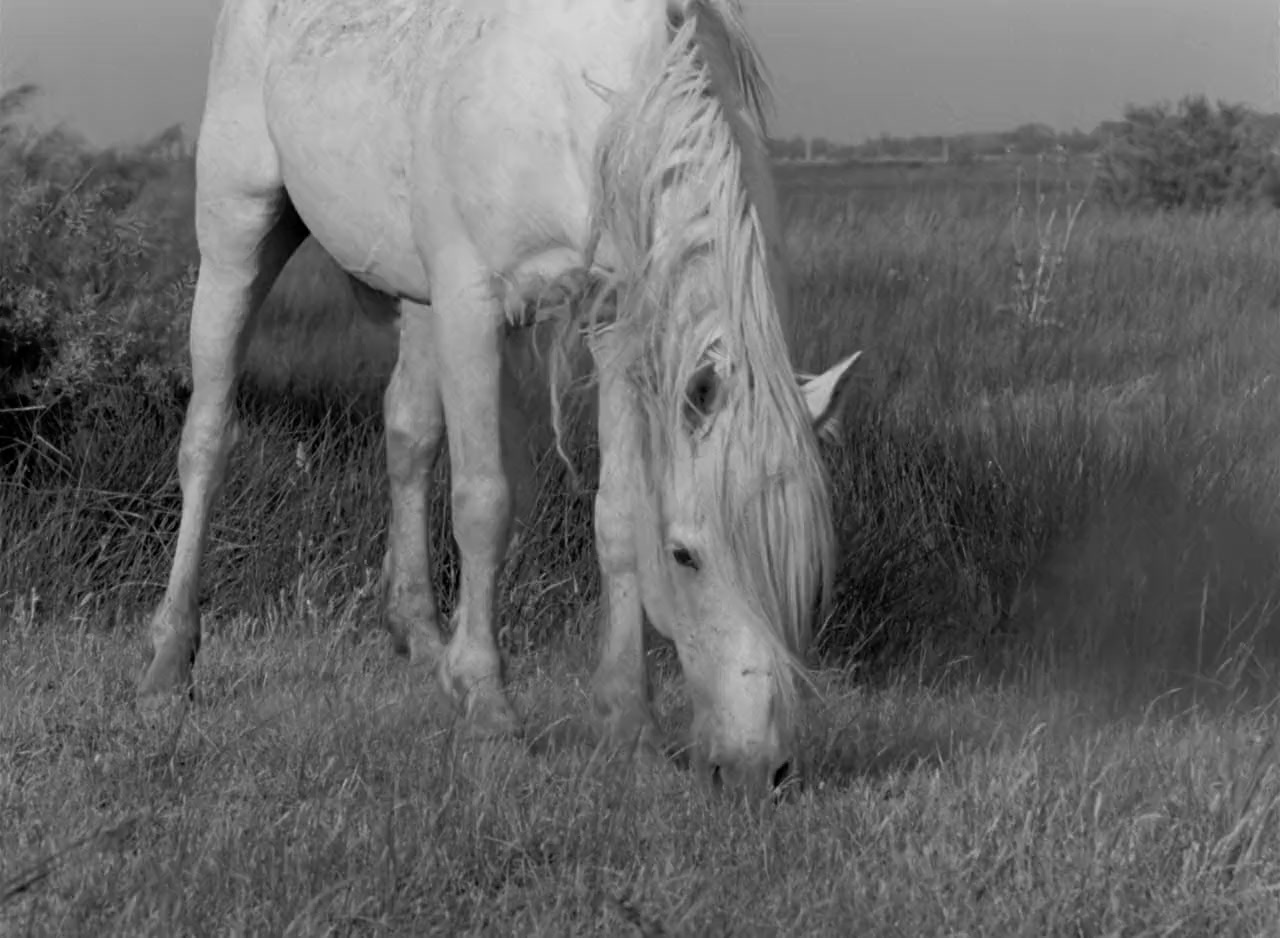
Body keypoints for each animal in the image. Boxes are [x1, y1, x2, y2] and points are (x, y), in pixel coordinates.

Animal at [139, 0, 862, 799]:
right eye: (686, 556)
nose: (760, 770)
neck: (592, 103)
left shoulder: (616, 323)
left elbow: (617, 514)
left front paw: (629, 725)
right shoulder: (471, 303)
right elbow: (484, 504)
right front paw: (490, 713)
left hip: (415, 295)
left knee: (408, 436)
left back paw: (424, 642)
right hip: (238, 232)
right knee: (208, 436)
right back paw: (169, 663)